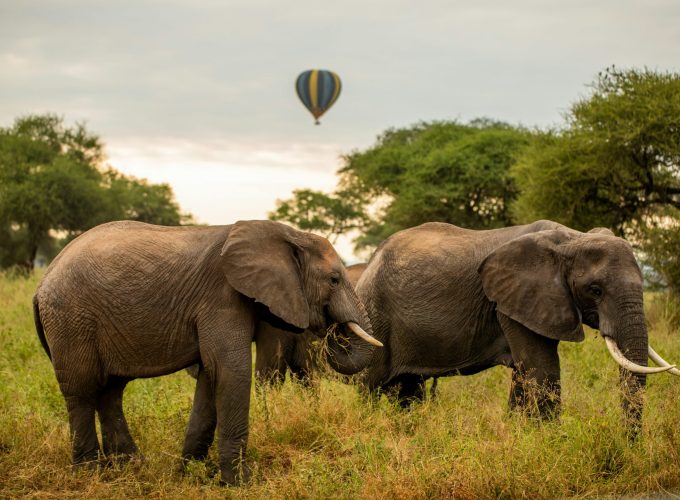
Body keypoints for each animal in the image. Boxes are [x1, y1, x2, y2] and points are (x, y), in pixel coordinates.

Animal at [32, 220, 381, 485]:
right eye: (334, 280)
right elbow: (231, 370)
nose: (333, 332)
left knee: (111, 390)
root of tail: (43, 280)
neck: (286, 234)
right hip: (71, 320)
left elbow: (210, 377)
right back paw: (90, 474)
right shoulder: (223, 297)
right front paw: (241, 483)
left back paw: (132, 466)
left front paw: (191, 473)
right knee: (82, 391)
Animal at [355, 219, 678, 427]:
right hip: (374, 317)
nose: (628, 443)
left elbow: (526, 373)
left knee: (409, 390)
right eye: (595, 290)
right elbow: (542, 369)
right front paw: (550, 440)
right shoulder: (512, 299)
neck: (571, 239)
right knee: (370, 387)